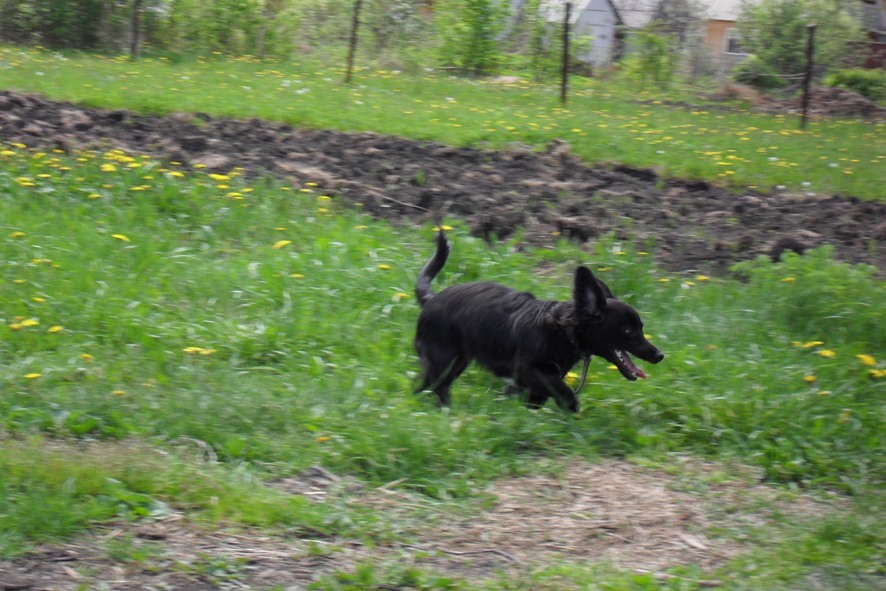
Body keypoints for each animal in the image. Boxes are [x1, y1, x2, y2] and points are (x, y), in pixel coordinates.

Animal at [414, 229, 663, 412]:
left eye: (641, 328)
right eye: (630, 331)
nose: (659, 355)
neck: (563, 332)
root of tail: (431, 299)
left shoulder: (539, 382)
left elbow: (540, 397)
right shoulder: (529, 370)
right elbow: (565, 391)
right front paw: (571, 408)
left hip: (457, 362)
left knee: (424, 387)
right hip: (444, 361)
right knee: (436, 386)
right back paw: (445, 409)